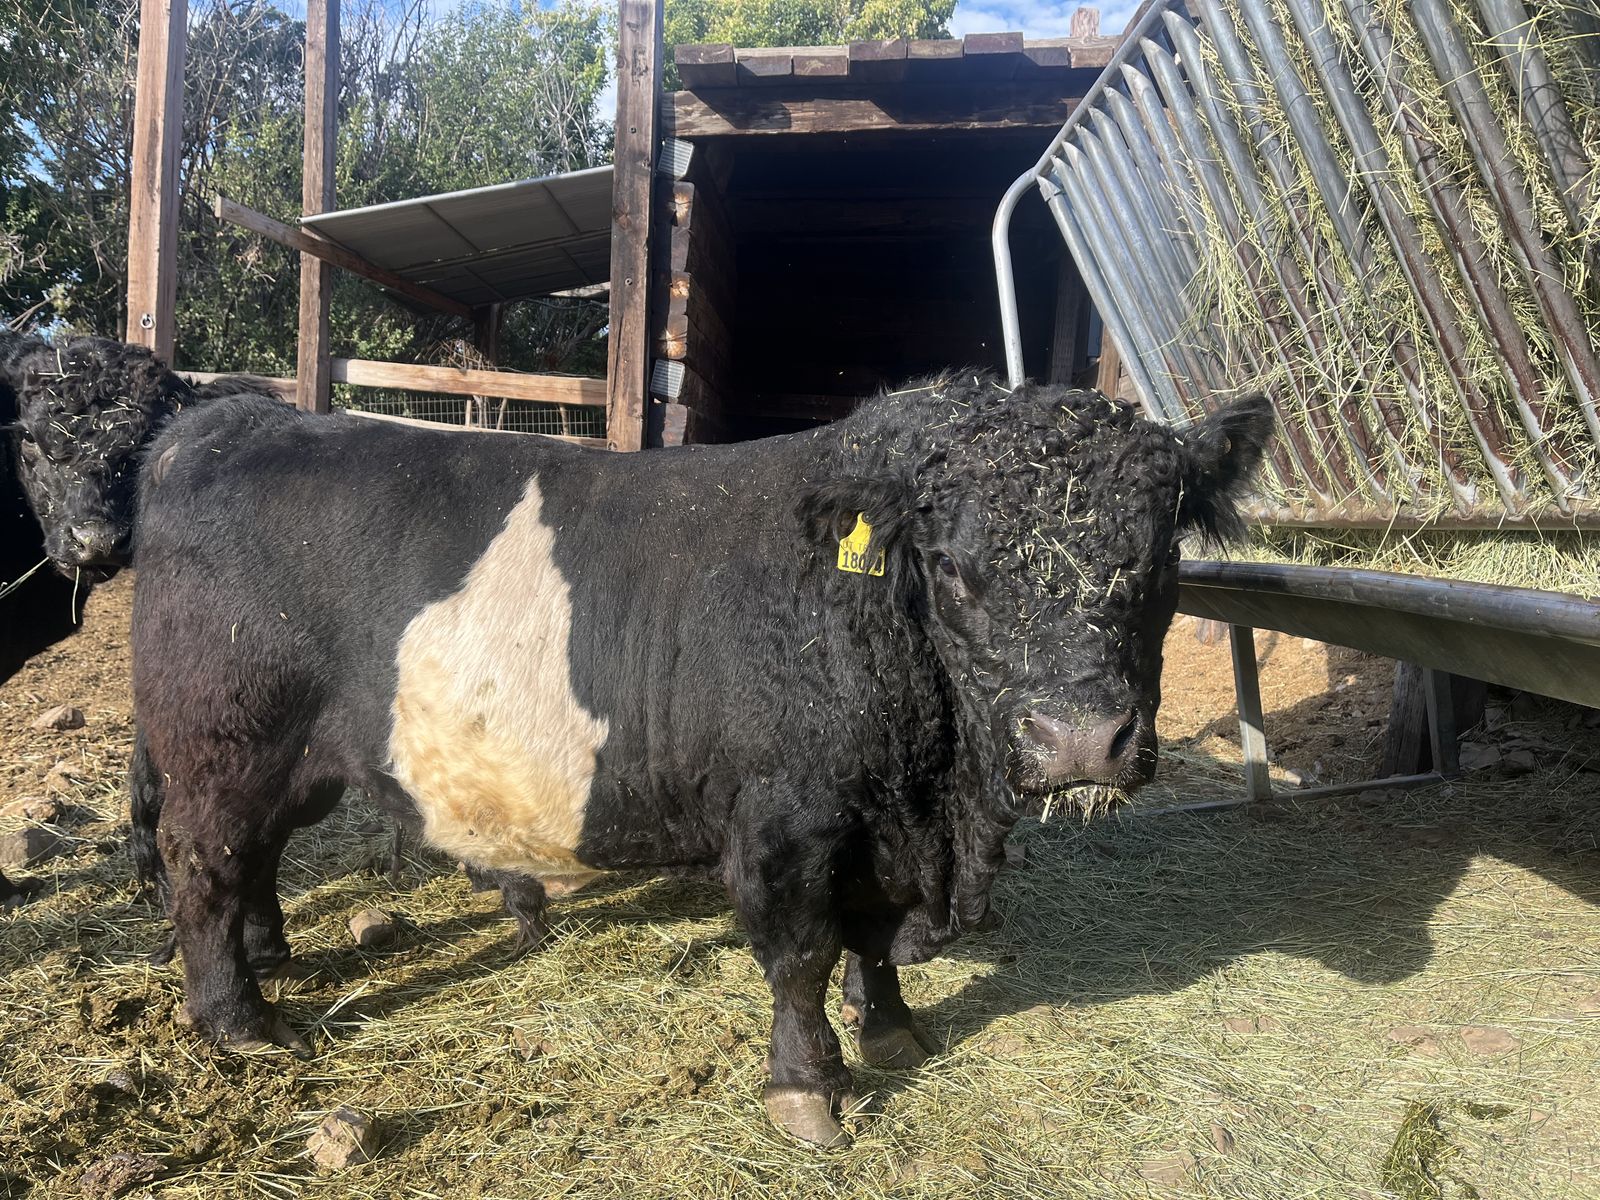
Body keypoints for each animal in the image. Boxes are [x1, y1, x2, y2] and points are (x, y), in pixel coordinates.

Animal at [43, 362, 1272, 1146]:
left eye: (1157, 561)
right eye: (961, 568)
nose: (1080, 740)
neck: (939, 788)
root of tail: (219, 425)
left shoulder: (883, 817)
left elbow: (874, 941)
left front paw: (892, 1031)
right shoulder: (787, 817)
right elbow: (801, 953)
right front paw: (805, 1087)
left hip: (296, 761)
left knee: (250, 862)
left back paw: (277, 959)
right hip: (220, 741)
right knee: (201, 864)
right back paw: (242, 1021)